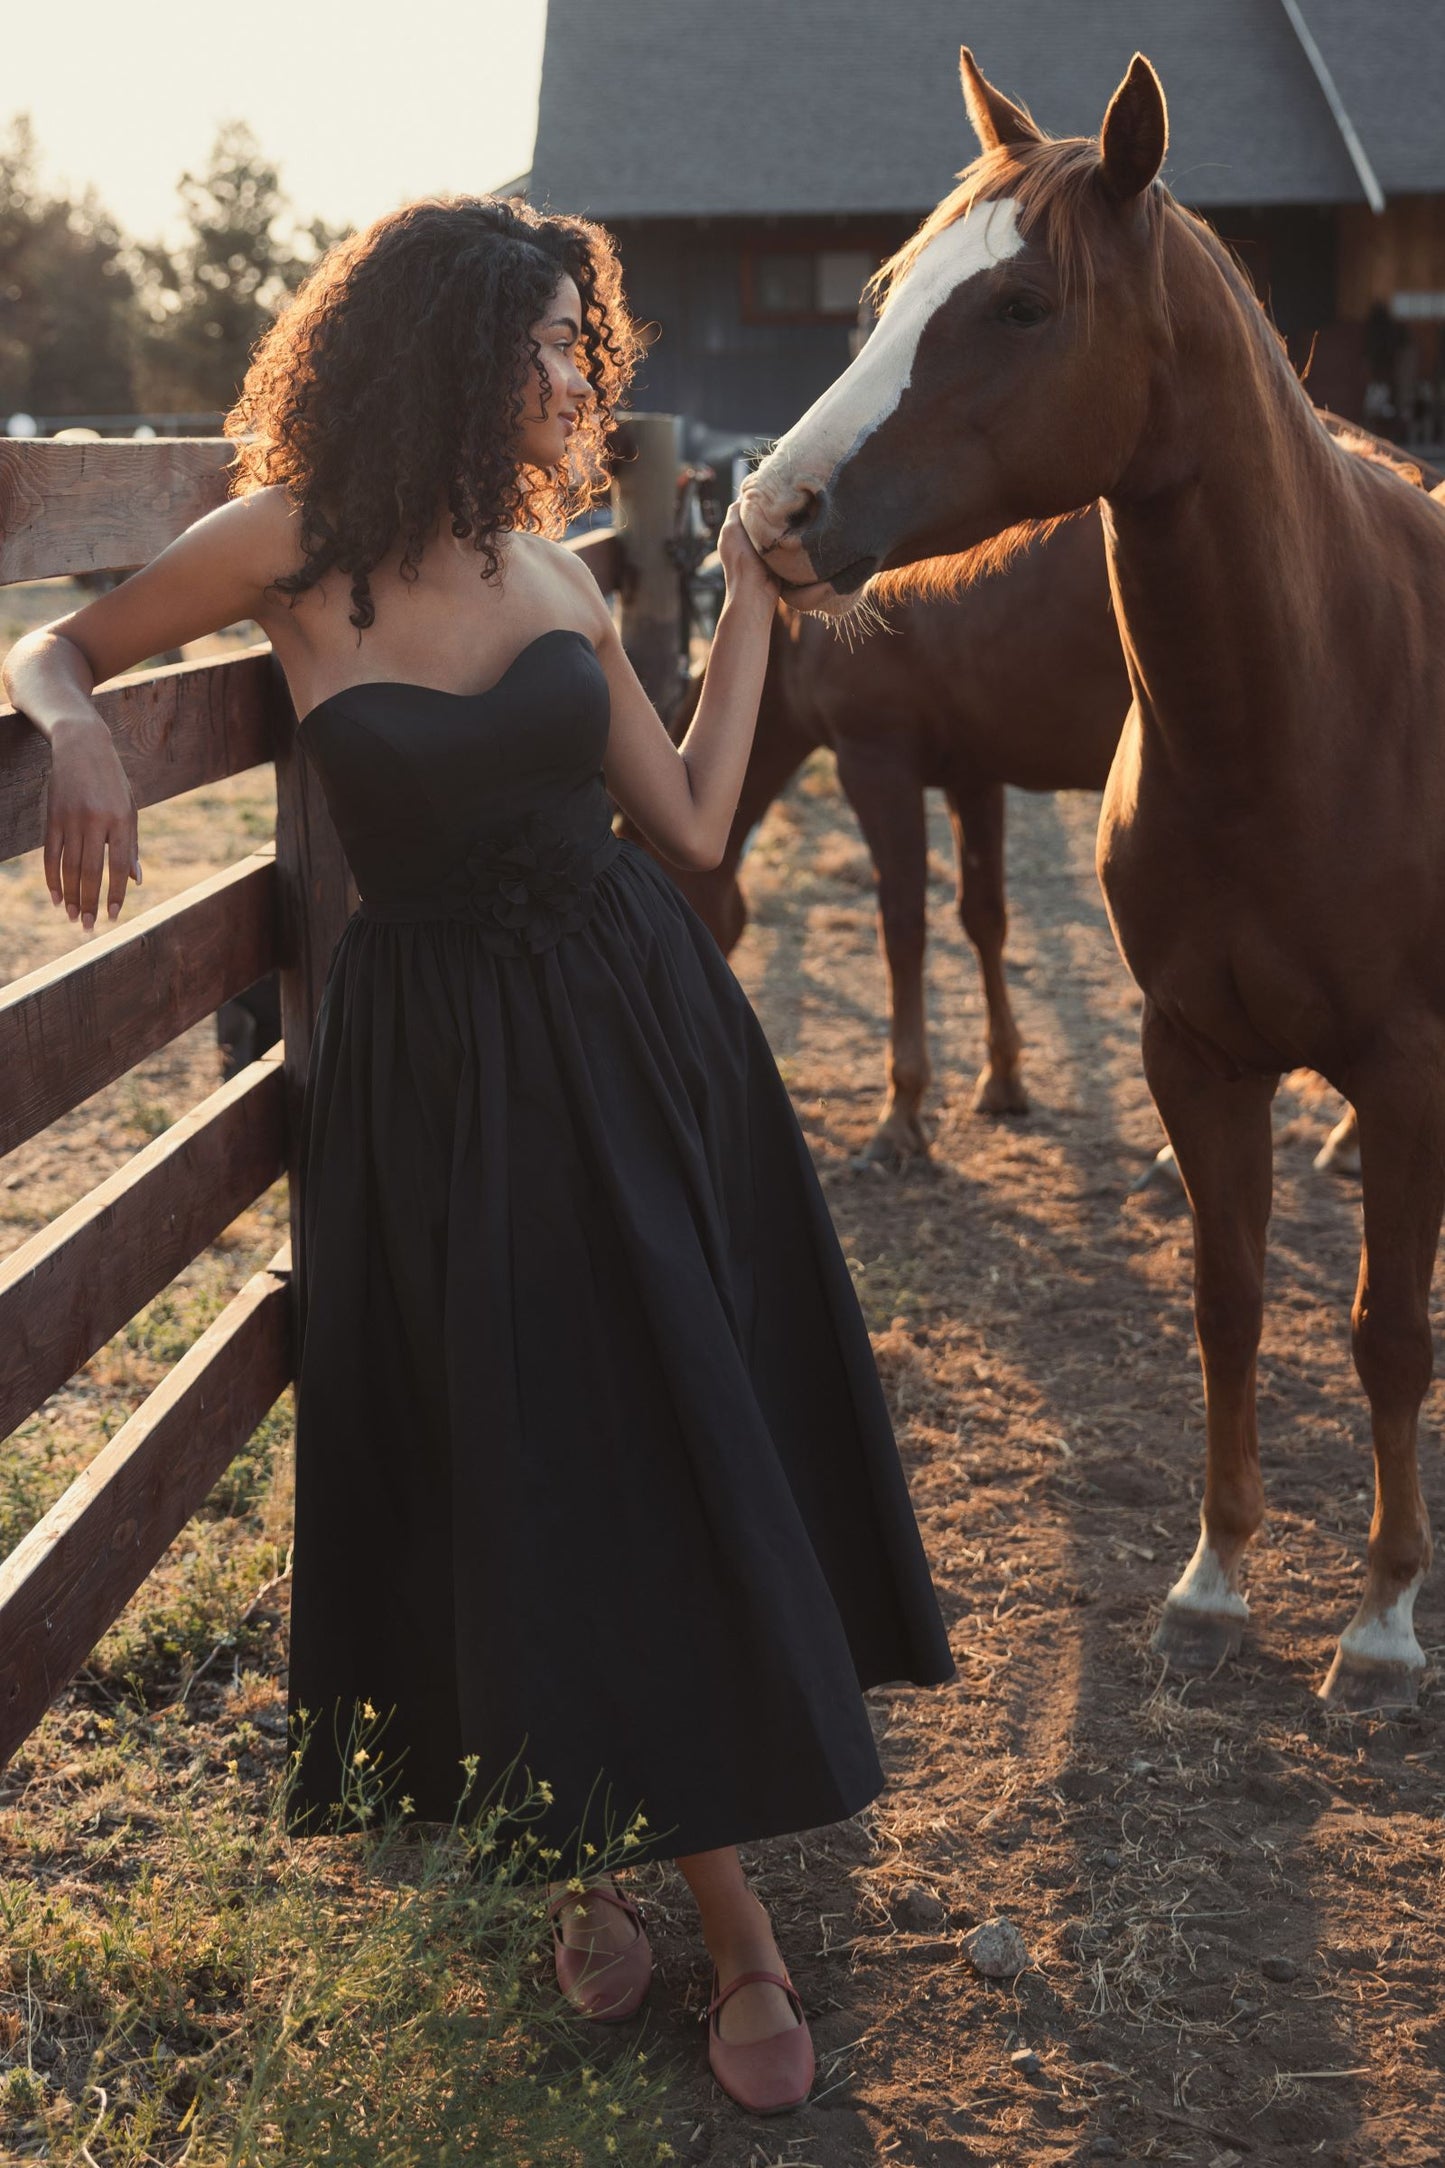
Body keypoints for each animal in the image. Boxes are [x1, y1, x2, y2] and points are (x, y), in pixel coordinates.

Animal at [740, 42, 1445, 1699]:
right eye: (880, 292)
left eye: (1018, 306)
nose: (776, 512)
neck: (1312, 707)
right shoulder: (1193, 1052)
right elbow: (1227, 1299)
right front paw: (1215, 1577)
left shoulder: (1405, 1069)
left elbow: (1386, 1330)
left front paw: (1384, 1619)